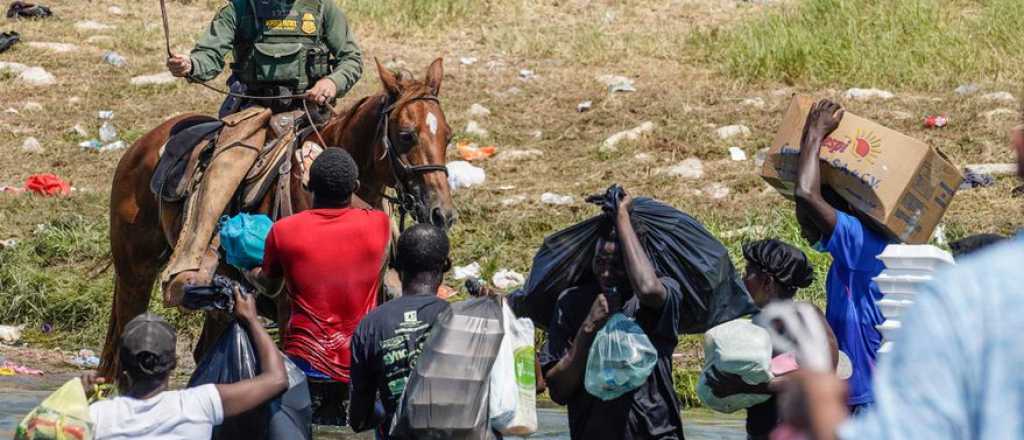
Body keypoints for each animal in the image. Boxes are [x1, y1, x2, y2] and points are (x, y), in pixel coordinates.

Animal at [99, 58, 456, 376]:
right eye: (407, 135)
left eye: (448, 135)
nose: (441, 212)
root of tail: (143, 144)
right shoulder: (290, 308)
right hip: (135, 274)